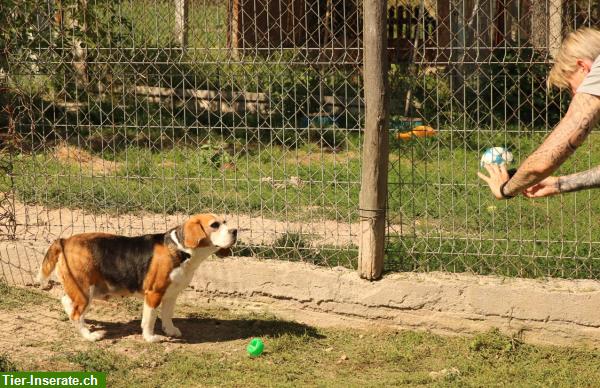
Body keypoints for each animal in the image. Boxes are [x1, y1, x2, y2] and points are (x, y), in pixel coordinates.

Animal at [35, 215, 239, 342]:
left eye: (225, 222)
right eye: (214, 225)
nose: (235, 231)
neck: (181, 250)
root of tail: (65, 240)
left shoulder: (171, 295)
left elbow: (167, 316)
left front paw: (170, 330)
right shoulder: (154, 295)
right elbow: (149, 320)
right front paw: (150, 338)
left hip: (83, 289)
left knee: (66, 302)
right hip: (85, 291)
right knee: (76, 313)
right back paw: (89, 335)